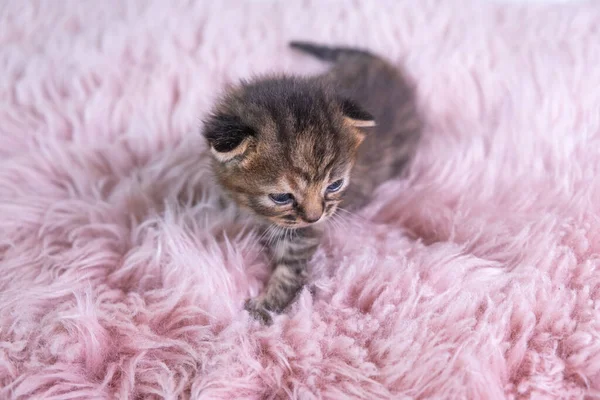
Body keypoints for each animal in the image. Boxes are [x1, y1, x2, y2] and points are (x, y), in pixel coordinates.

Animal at [199, 41, 420, 324]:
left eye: (334, 185)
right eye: (281, 197)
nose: (315, 217)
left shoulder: (302, 232)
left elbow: (290, 268)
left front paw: (265, 307)